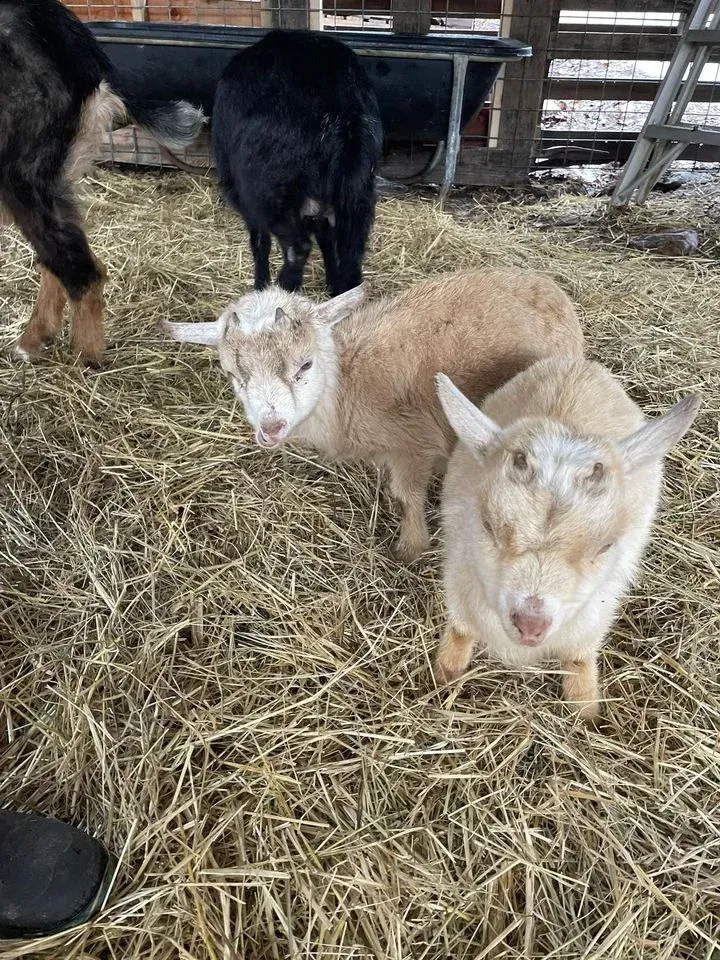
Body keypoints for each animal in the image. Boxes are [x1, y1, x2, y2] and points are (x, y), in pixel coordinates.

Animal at [161, 268, 584, 562]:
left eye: (305, 365)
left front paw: (411, 548)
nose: (271, 427)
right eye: (234, 375)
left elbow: (407, 493)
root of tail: (554, 291)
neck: (349, 386)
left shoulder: (413, 443)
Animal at [212, 30, 383, 297]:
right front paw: (331, 282)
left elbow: (259, 242)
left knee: (297, 248)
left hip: (271, 193)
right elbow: (327, 239)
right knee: (351, 256)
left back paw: (281, 290)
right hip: (358, 193)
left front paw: (260, 285)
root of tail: (344, 112)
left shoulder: (244, 198)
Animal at [435, 357, 699, 719]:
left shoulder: (599, 609)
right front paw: (442, 678)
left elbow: (578, 658)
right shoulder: (459, 572)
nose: (531, 625)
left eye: (605, 545)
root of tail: (580, 364)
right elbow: (460, 631)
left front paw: (588, 713)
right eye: (488, 525)